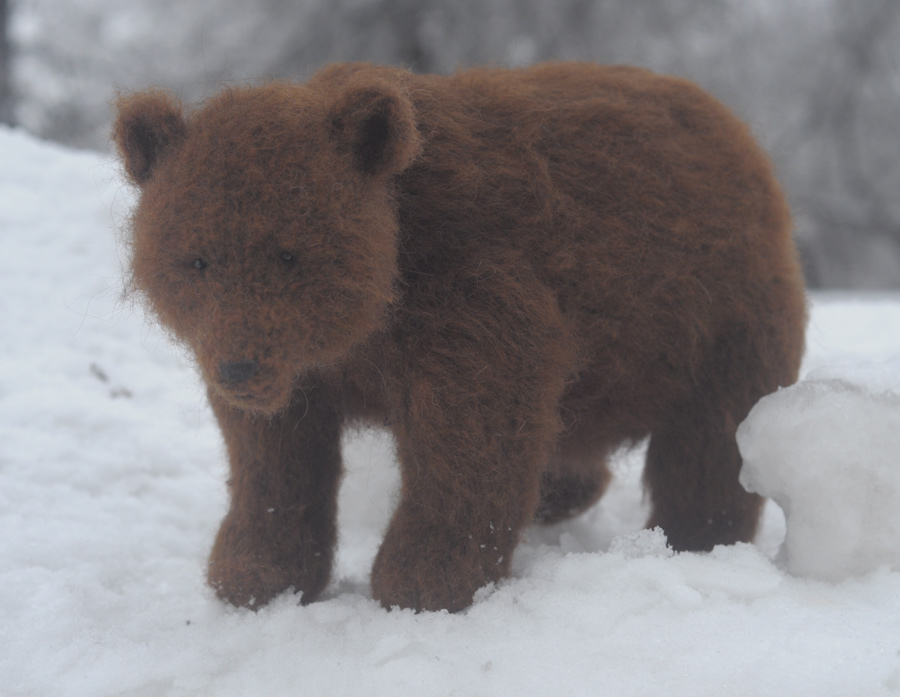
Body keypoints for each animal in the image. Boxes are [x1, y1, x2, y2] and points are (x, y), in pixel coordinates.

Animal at [114, 62, 808, 612]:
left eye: (289, 254)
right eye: (196, 259)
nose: (238, 369)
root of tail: (736, 130)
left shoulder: (469, 302)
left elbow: (470, 445)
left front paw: (423, 579)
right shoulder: (298, 365)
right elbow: (274, 459)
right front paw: (254, 574)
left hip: (716, 320)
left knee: (709, 440)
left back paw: (696, 539)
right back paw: (559, 495)